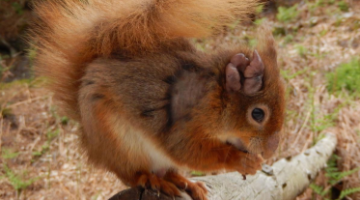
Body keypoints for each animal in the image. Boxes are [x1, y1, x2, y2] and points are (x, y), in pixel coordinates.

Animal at [30, 0, 284, 199]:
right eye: (257, 113)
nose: (271, 151)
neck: (213, 97)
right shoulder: (183, 128)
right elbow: (190, 152)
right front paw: (243, 161)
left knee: (168, 170)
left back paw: (185, 183)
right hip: (120, 143)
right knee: (132, 175)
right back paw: (153, 180)